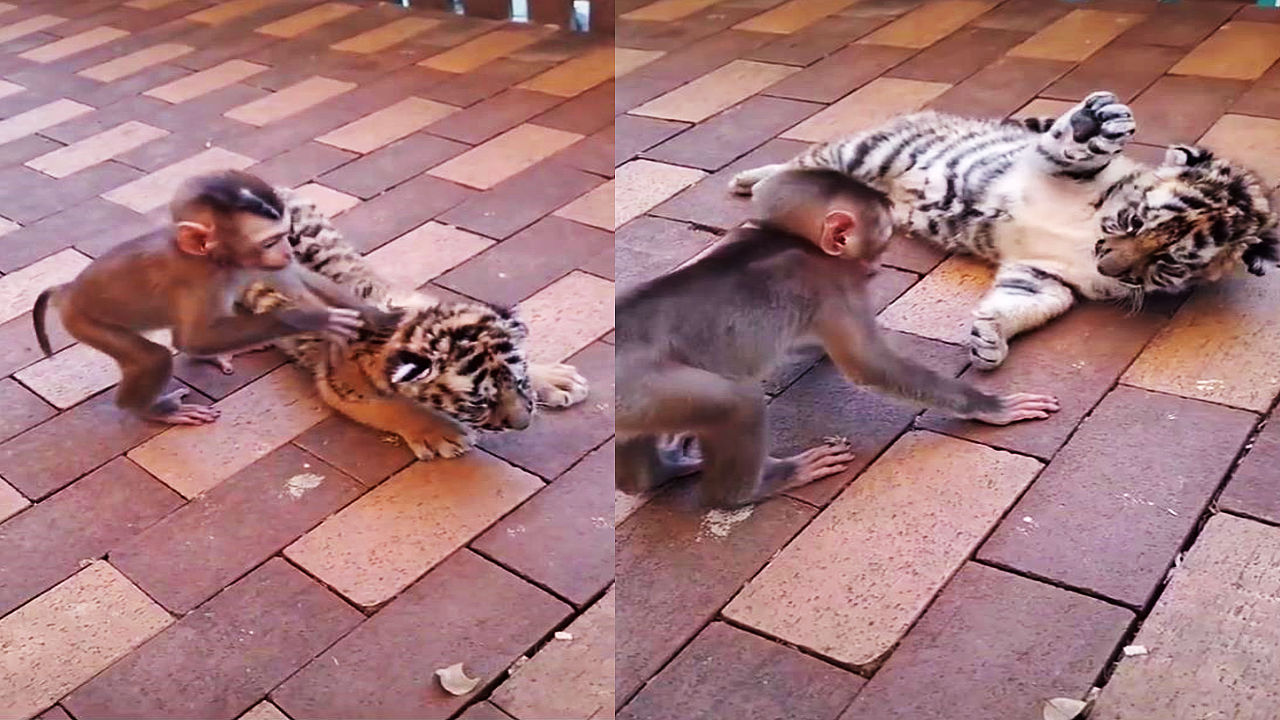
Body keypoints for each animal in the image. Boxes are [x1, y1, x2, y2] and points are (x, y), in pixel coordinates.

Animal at [231, 187, 590, 461]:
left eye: (518, 381)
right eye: (479, 403)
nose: (524, 424)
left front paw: (555, 379)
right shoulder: (340, 383)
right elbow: (392, 407)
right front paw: (441, 433)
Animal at [731, 90, 1280, 370]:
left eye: (1165, 262)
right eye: (1134, 220)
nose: (1109, 265)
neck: (1088, 239)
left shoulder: (1045, 276)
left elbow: (1027, 304)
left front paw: (990, 336)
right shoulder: (1053, 166)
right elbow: (1075, 147)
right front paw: (1102, 119)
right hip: (861, 153)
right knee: (800, 165)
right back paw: (748, 182)